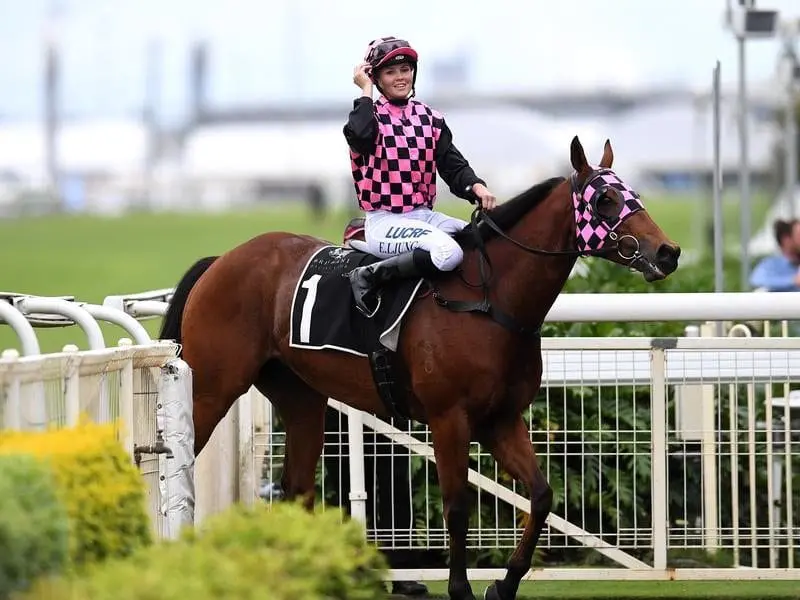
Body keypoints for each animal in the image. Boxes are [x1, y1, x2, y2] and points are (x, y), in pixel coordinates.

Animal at [158, 137, 680, 600]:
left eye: (633, 192)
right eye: (606, 200)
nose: (668, 252)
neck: (489, 300)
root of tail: (222, 260)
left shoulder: (500, 419)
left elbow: (542, 495)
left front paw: (505, 583)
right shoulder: (449, 419)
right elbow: (457, 506)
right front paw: (460, 588)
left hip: (302, 396)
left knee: (297, 488)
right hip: (211, 388)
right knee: (180, 462)